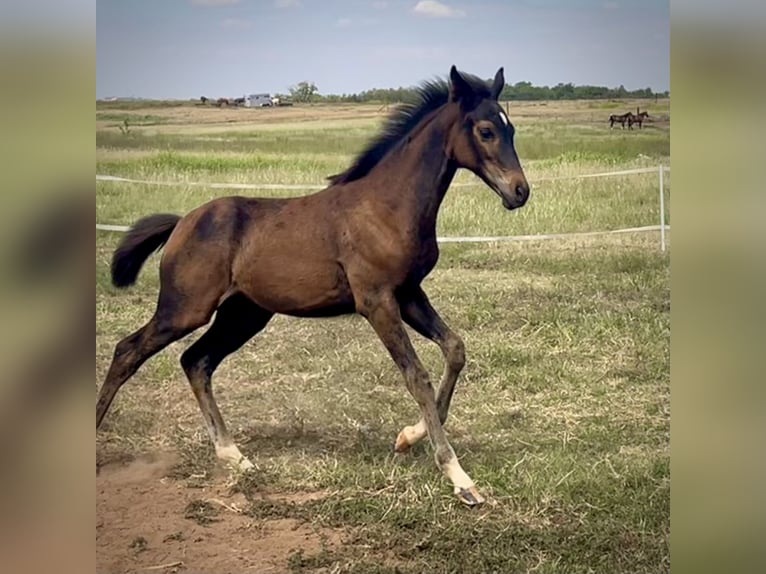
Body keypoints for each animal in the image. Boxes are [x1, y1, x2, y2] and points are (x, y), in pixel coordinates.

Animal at [97, 66, 536, 508]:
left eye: (512, 128)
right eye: (485, 131)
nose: (520, 191)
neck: (387, 207)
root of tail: (182, 222)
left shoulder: (410, 294)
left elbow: (455, 349)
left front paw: (408, 438)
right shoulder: (376, 301)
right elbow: (417, 376)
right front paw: (459, 478)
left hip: (243, 315)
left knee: (196, 361)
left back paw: (235, 455)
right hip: (186, 309)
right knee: (128, 351)